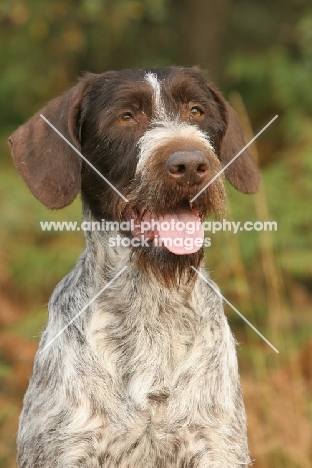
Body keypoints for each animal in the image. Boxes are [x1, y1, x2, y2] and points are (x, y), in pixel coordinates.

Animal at [8, 66, 260, 468]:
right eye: (126, 117)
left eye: (196, 111)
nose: (191, 164)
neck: (151, 302)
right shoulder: (68, 449)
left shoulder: (215, 446)